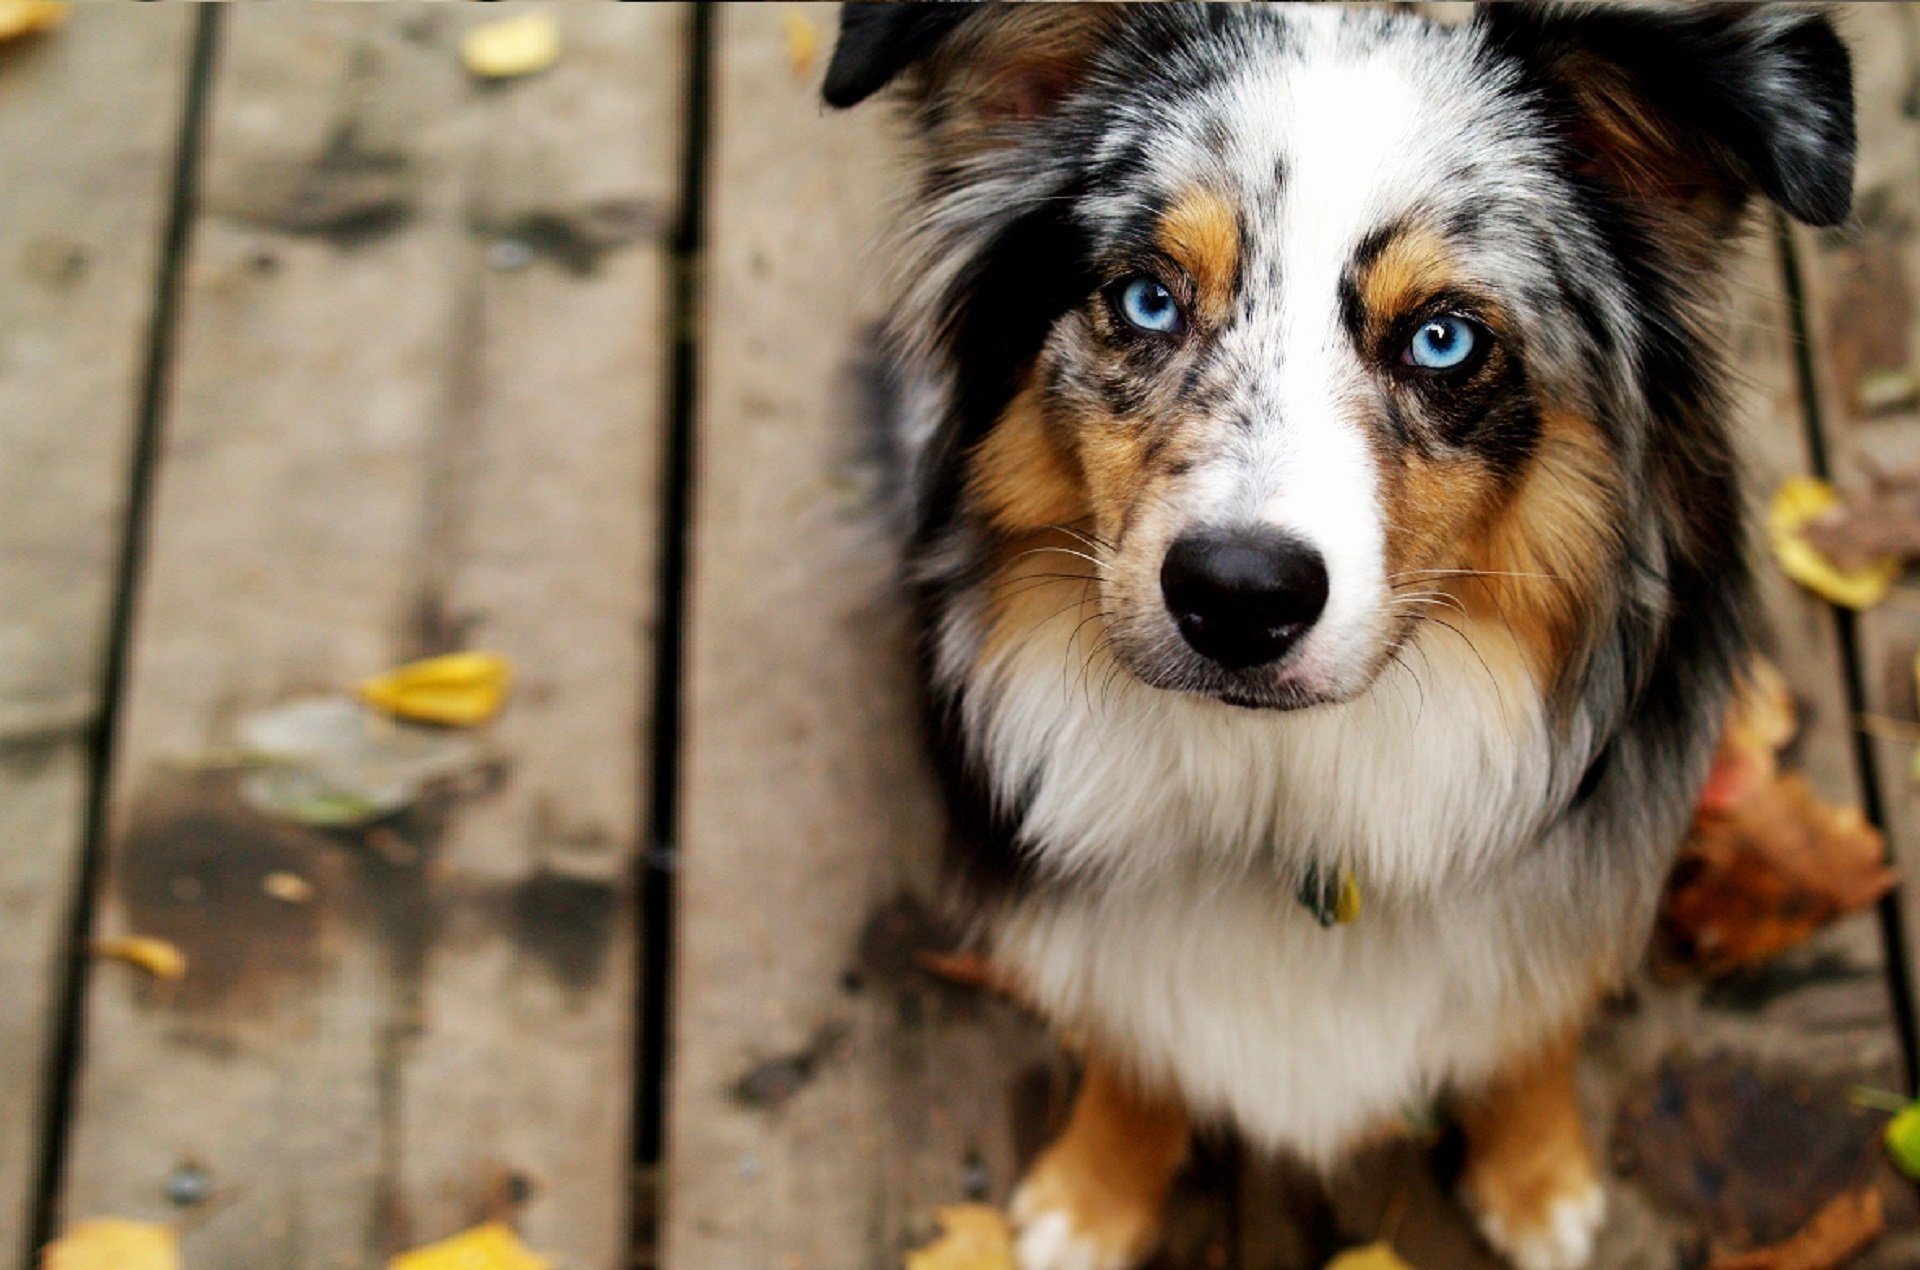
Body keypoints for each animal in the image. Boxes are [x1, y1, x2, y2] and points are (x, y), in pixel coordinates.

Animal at [817, 4, 1850, 1260]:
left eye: (1443, 339)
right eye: (1148, 299)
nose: (1237, 593)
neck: (1291, 790)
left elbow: (1537, 1014)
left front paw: (1537, 1169)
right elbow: (1132, 1039)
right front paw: (1095, 1189)